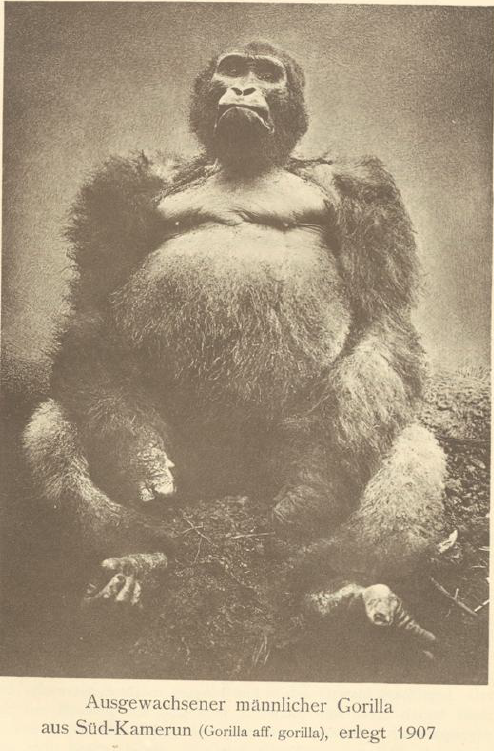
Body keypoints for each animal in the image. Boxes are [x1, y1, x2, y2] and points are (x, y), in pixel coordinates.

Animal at [24, 41, 446, 636]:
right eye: (232, 69)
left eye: (266, 75)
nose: (244, 90)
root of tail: (228, 488)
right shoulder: (125, 181)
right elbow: (93, 305)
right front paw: (138, 459)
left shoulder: (364, 185)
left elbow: (382, 321)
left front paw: (313, 489)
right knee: (55, 425)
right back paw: (132, 557)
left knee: (407, 446)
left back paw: (341, 587)